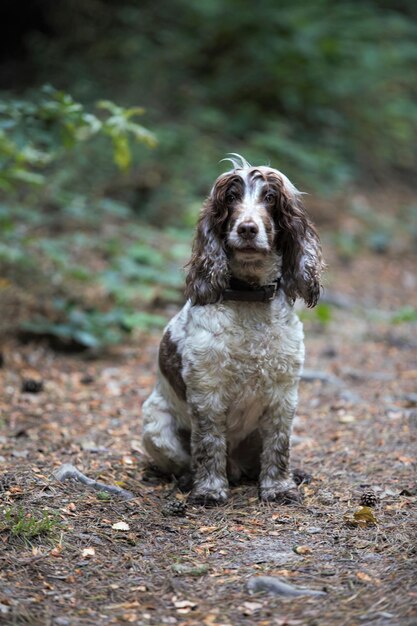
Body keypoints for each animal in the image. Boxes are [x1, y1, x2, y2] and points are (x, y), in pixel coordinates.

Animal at [141, 154, 324, 504]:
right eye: (231, 198)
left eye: (270, 197)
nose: (248, 228)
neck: (249, 296)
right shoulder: (207, 392)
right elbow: (208, 444)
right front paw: (209, 490)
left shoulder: (284, 392)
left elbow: (279, 445)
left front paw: (279, 487)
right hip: (155, 427)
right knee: (184, 460)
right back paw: (190, 479)